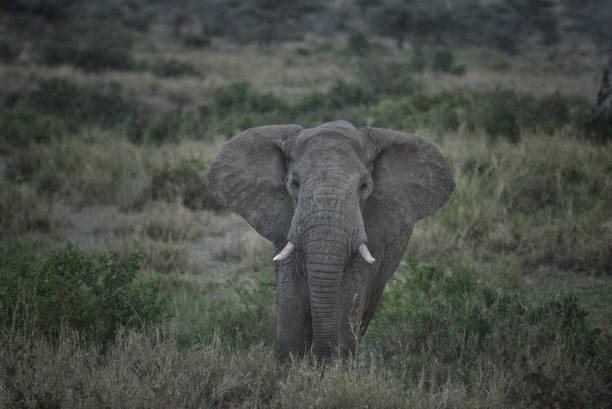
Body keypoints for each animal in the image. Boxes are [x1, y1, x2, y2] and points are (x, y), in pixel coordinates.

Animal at [207, 120, 454, 360]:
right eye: (294, 183)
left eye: (364, 186)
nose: (321, 358)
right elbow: (291, 299)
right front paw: (292, 366)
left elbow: (349, 299)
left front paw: (335, 366)